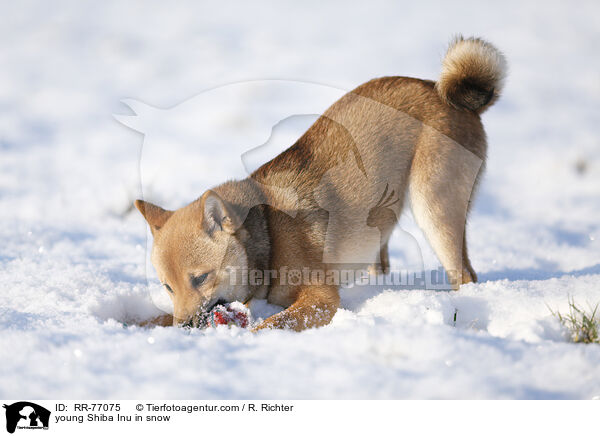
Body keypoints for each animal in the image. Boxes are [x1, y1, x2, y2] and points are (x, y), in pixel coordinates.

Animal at [135, 36, 506, 330]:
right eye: (167, 286)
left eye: (200, 277)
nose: (185, 325)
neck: (268, 236)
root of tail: (444, 93)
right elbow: (157, 317)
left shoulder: (321, 297)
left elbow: (273, 323)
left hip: (435, 210)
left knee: (465, 276)